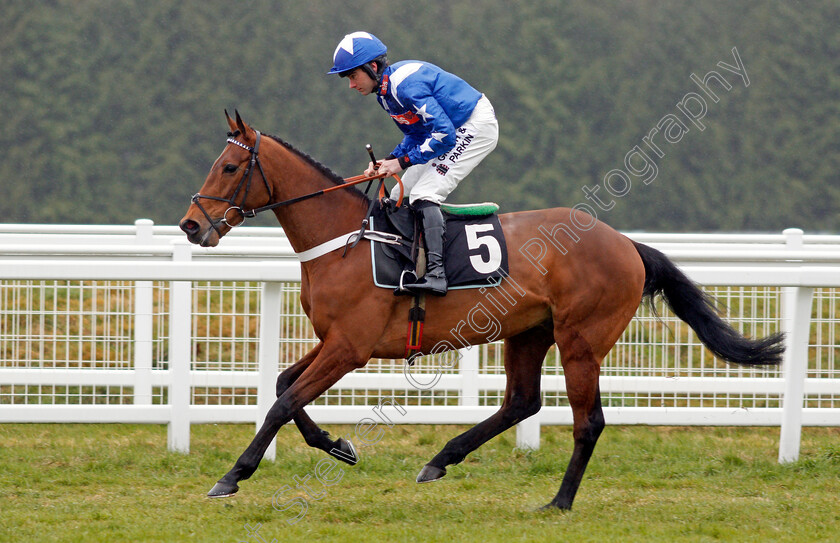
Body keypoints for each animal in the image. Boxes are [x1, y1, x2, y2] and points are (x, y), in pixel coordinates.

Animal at [180, 111, 784, 510]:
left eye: (229, 167)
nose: (190, 225)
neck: (345, 240)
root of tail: (626, 244)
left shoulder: (350, 348)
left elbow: (283, 403)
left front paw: (232, 476)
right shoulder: (334, 341)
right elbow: (284, 384)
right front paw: (339, 446)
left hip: (581, 339)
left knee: (587, 421)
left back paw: (558, 502)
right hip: (529, 332)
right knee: (521, 401)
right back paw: (441, 459)